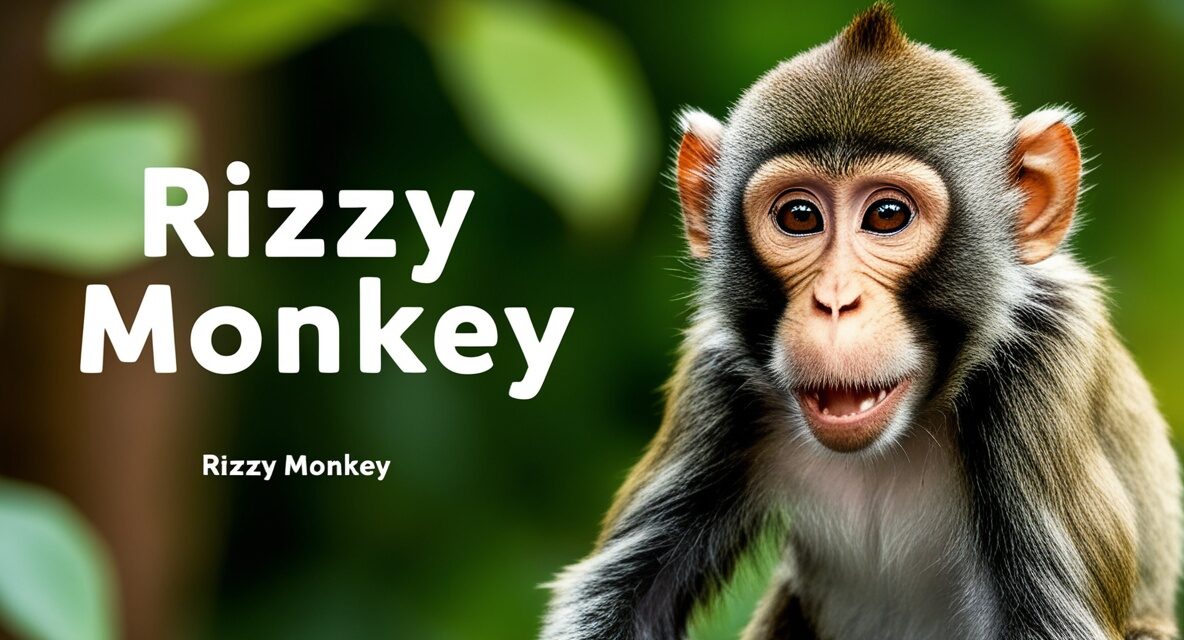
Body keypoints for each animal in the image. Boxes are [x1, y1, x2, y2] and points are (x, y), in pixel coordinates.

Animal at [540, 5, 1181, 640]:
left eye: (887, 214)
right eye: (800, 216)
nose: (835, 299)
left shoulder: (1043, 365)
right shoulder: (719, 372)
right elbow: (619, 603)